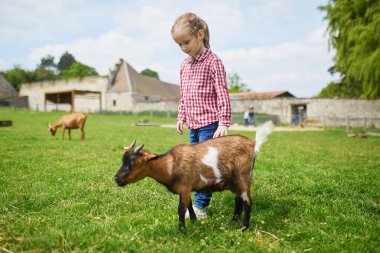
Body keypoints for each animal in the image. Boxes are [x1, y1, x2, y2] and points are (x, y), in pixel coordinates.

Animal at [114, 121, 274, 232]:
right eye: (123, 160)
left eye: (133, 163)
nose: (116, 179)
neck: (170, 164)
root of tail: (252, 144)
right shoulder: (185, 188)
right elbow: (189, 204)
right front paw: (193, 221)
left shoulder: (184, 186)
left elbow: (181, 208)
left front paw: (182, 231)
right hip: (234, 181)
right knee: (238, 200)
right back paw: (234, 222)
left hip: (243, 177)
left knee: (247, 201)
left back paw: (244, 228)